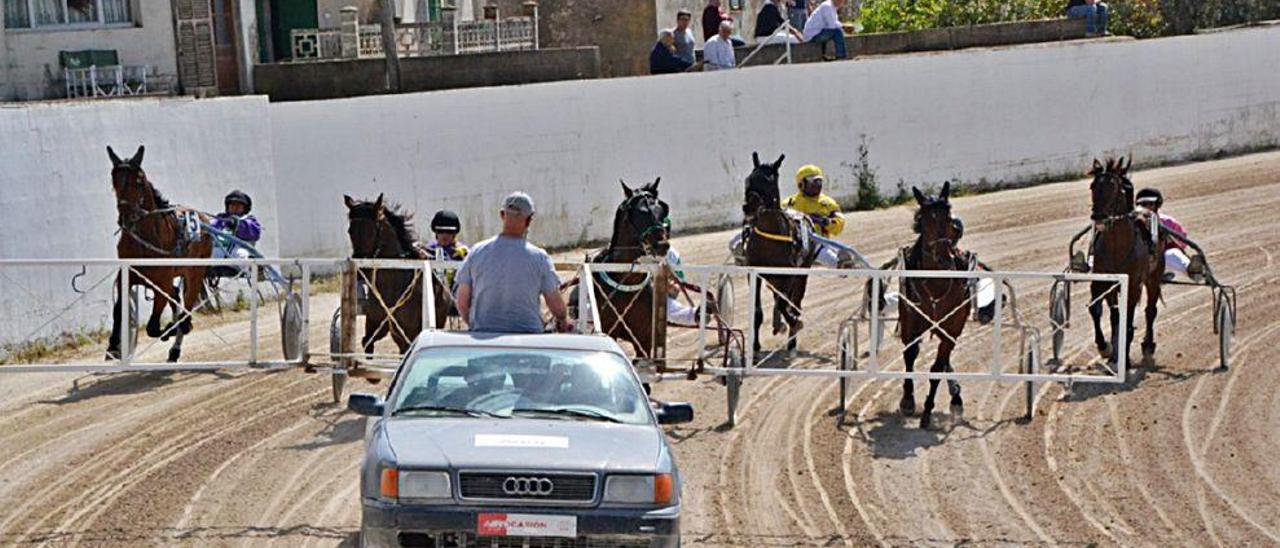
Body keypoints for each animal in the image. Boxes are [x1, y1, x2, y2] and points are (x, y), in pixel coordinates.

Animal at [106, 143, 213, 361]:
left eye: (138, 181)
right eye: (114, 181)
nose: (126, 218)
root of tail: (203, 218)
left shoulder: (161, 283)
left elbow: (153, 327)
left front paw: (172, 328)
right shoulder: (126, 276)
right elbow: (118, 309)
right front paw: (113, 345)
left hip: (195, 273)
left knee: (186, 307)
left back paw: (176, 343)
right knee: (177, 298)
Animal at [345, 194, 450, 353]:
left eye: (373, 229)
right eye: (350, 231)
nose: (361, 269)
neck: (391, 286)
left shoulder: (409, 332)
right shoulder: (376, 324)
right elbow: (367, 342)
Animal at [742, 151, 808, 355]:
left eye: (769, 181)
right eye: (749, 179)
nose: (749, 207)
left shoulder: (790, 275)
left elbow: (783, 303)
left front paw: (794, 323)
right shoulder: (755, 273)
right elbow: (757, 311)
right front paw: (755, 346)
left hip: (802, 274)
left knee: (795, 301)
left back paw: (791, 337)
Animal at [901, 181, 967, 430]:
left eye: (949, 219)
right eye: (924, 222)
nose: (944, 259)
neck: (936, 284)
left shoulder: (951, 330)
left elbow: (937, 368)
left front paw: (928, 410)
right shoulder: (910, 323)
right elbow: (910, 355)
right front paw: (908, 400)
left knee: (945, 360)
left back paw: (956, 397)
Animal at [1090, 157, 1162, 363]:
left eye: (1114, 188)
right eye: (1092, 186)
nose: (1098, 217)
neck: (1117, 247)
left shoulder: (1133, 285)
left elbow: (1129, 319)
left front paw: (1126, 358)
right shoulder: (1101, 281)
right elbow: (1097, 310)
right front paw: (1105, 347)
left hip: (1153, 278)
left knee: (1150, 310)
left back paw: (1148, 345)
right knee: (1116, 314)